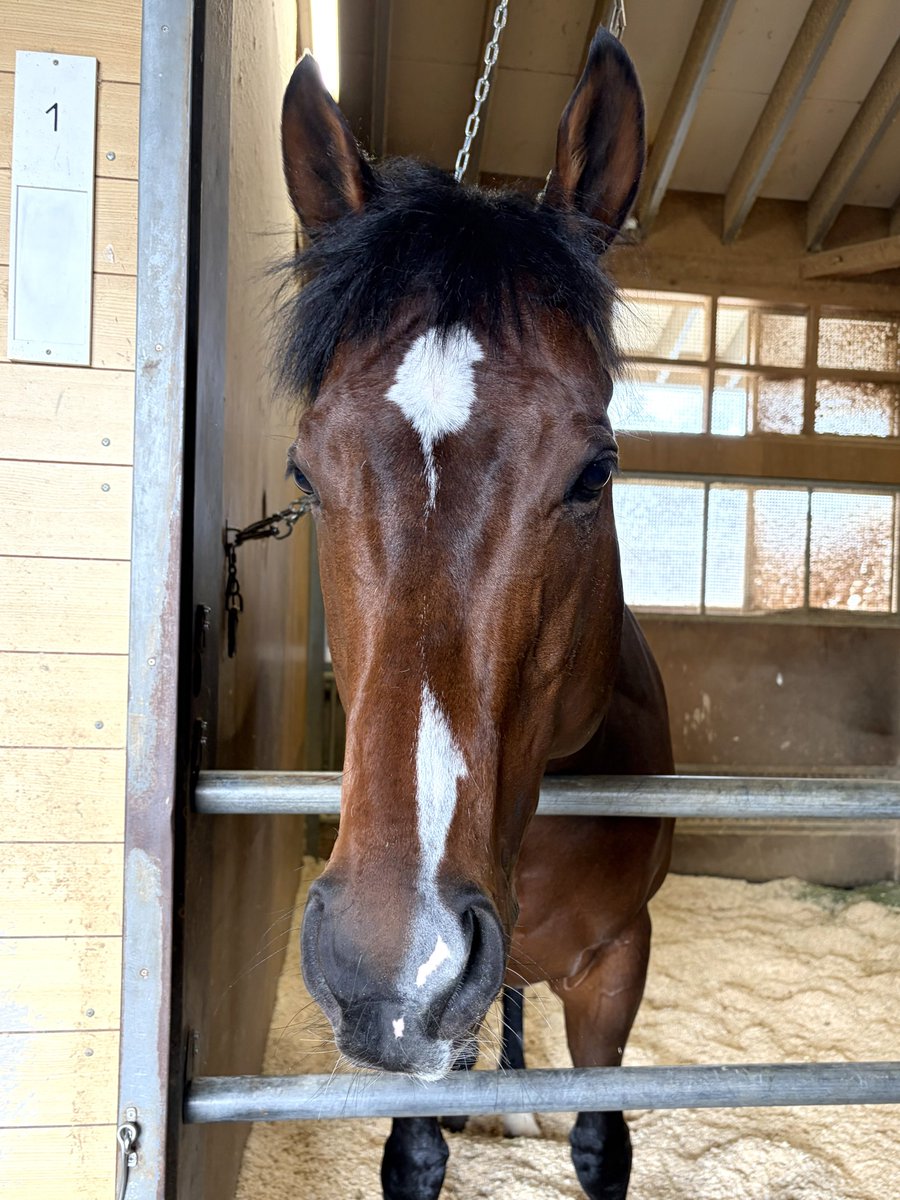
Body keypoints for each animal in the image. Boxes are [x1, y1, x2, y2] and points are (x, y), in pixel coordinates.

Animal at [277, 28, 674, 1200]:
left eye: (594, 473)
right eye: (305, 473)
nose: (392, 964)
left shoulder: (616, 967)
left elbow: (601, 1143)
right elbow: (416, 1153)